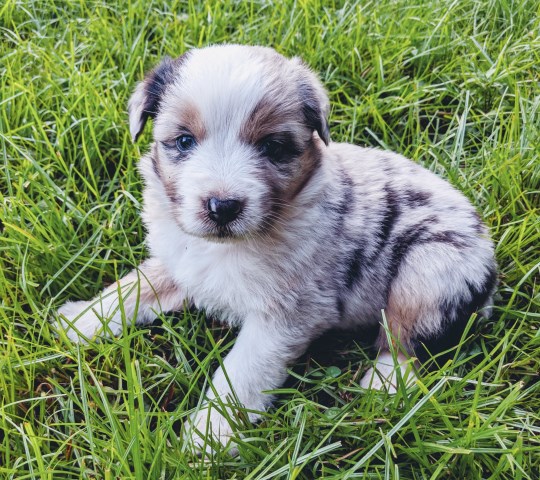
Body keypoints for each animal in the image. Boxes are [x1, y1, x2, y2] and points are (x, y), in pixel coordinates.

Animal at [56, 43, 498, 452]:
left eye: (272, 147)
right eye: (183, 141)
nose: (222, 206)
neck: (232, 244)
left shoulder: (286, 316)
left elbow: (240, 374)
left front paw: (207, 439)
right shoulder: (181, 260)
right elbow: (134, 287)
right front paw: (80, 322)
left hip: (429, 269)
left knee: (406, 345)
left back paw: (380, 389)